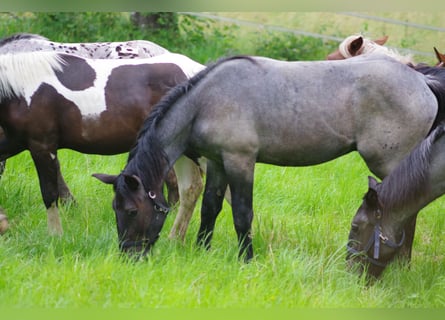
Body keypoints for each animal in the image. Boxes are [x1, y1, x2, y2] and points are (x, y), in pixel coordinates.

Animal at [0, 50, 205, 238]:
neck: (20, 90)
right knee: (190, 189)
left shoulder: (42, 146)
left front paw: (55, 236)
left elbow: (49, 193)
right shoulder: (15, 142)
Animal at [93, 54, 444, 260]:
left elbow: (242, 214)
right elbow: (210, 208)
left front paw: (245, 259)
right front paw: (201, 250)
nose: (128, 256)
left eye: (130, 209)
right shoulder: (218, 163)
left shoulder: (240, 162)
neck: (206, 102)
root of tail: (421, 80)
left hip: (390, 165)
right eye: (114, 208)